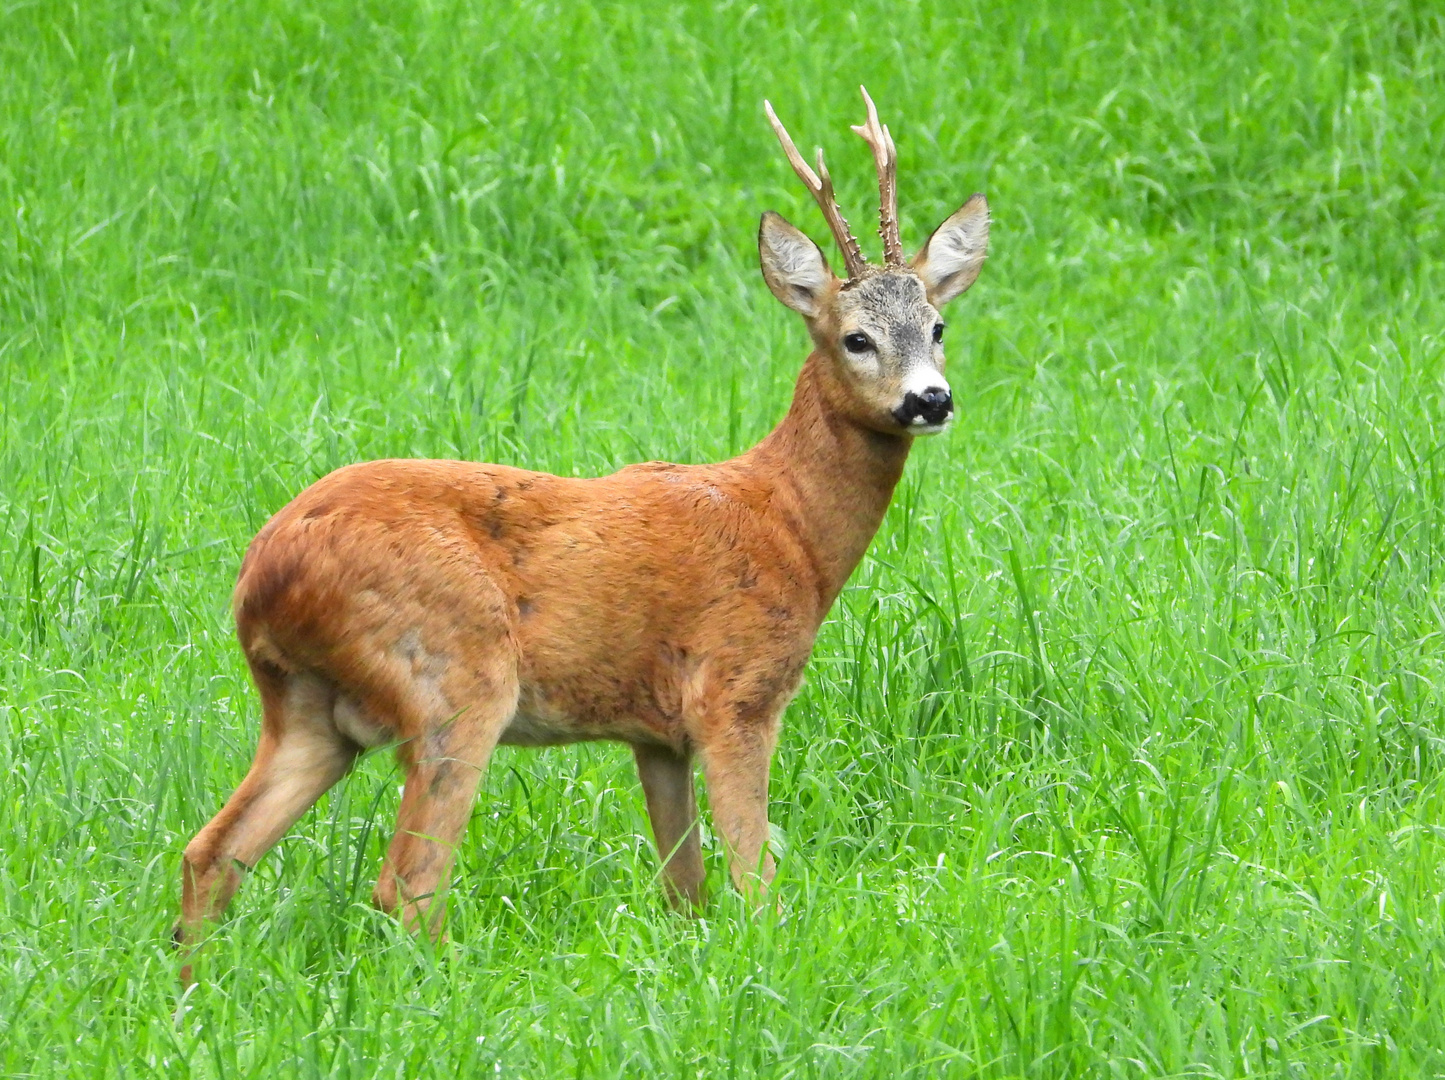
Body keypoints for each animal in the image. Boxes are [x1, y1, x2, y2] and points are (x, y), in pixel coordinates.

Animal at [174, 88, 988, 977]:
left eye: (937, 327)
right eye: (855, 337)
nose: (930, 400)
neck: (789, 527)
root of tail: (261, 575)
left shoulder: (655, 734)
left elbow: (686, 892)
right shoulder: (734, 691)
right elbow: (753, 880)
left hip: (306, 709)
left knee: (212, 851)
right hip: (454, 680)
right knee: (409, 885)